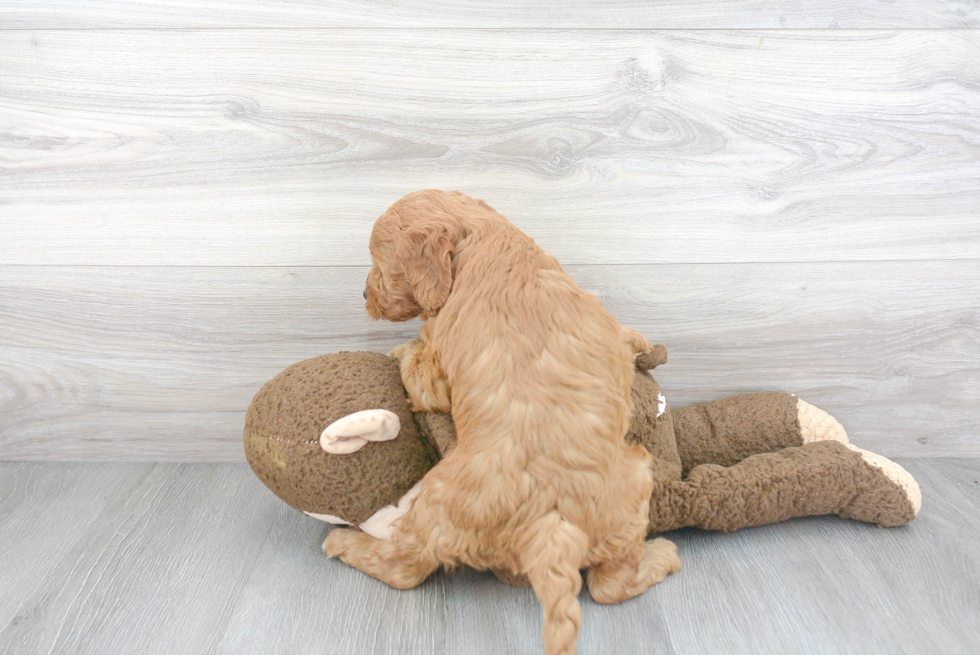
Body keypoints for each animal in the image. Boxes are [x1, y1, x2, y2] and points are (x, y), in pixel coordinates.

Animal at [326, 190, 676, 655]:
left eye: (381, 262)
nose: (363, 292)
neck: (483, 241)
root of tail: (550, 525)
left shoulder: (435, 366)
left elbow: (414, 359)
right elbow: (628, 336)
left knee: (406, 567)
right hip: (632, 486)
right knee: (607, 585)